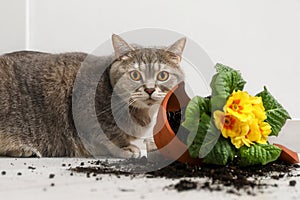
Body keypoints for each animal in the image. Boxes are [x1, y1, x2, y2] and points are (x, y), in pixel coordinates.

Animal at [0, 34, 185, 158]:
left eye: (162, 75)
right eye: (135, 75)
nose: (150, 89)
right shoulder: (85, 110)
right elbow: (108, 134)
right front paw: (125, 147)